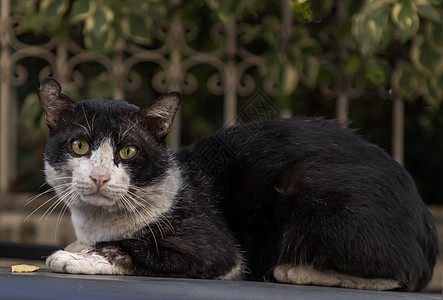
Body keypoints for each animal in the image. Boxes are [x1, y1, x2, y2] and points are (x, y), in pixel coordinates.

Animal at [39, 77, 440, 290]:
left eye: (127, 151)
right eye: (79, 145)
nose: (99, 177)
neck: (98, 223)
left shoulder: (215, 249)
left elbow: (132, 248)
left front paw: (76, 258)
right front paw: (76, 247)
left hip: (306, 180)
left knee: (403, 274)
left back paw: (295, 269)